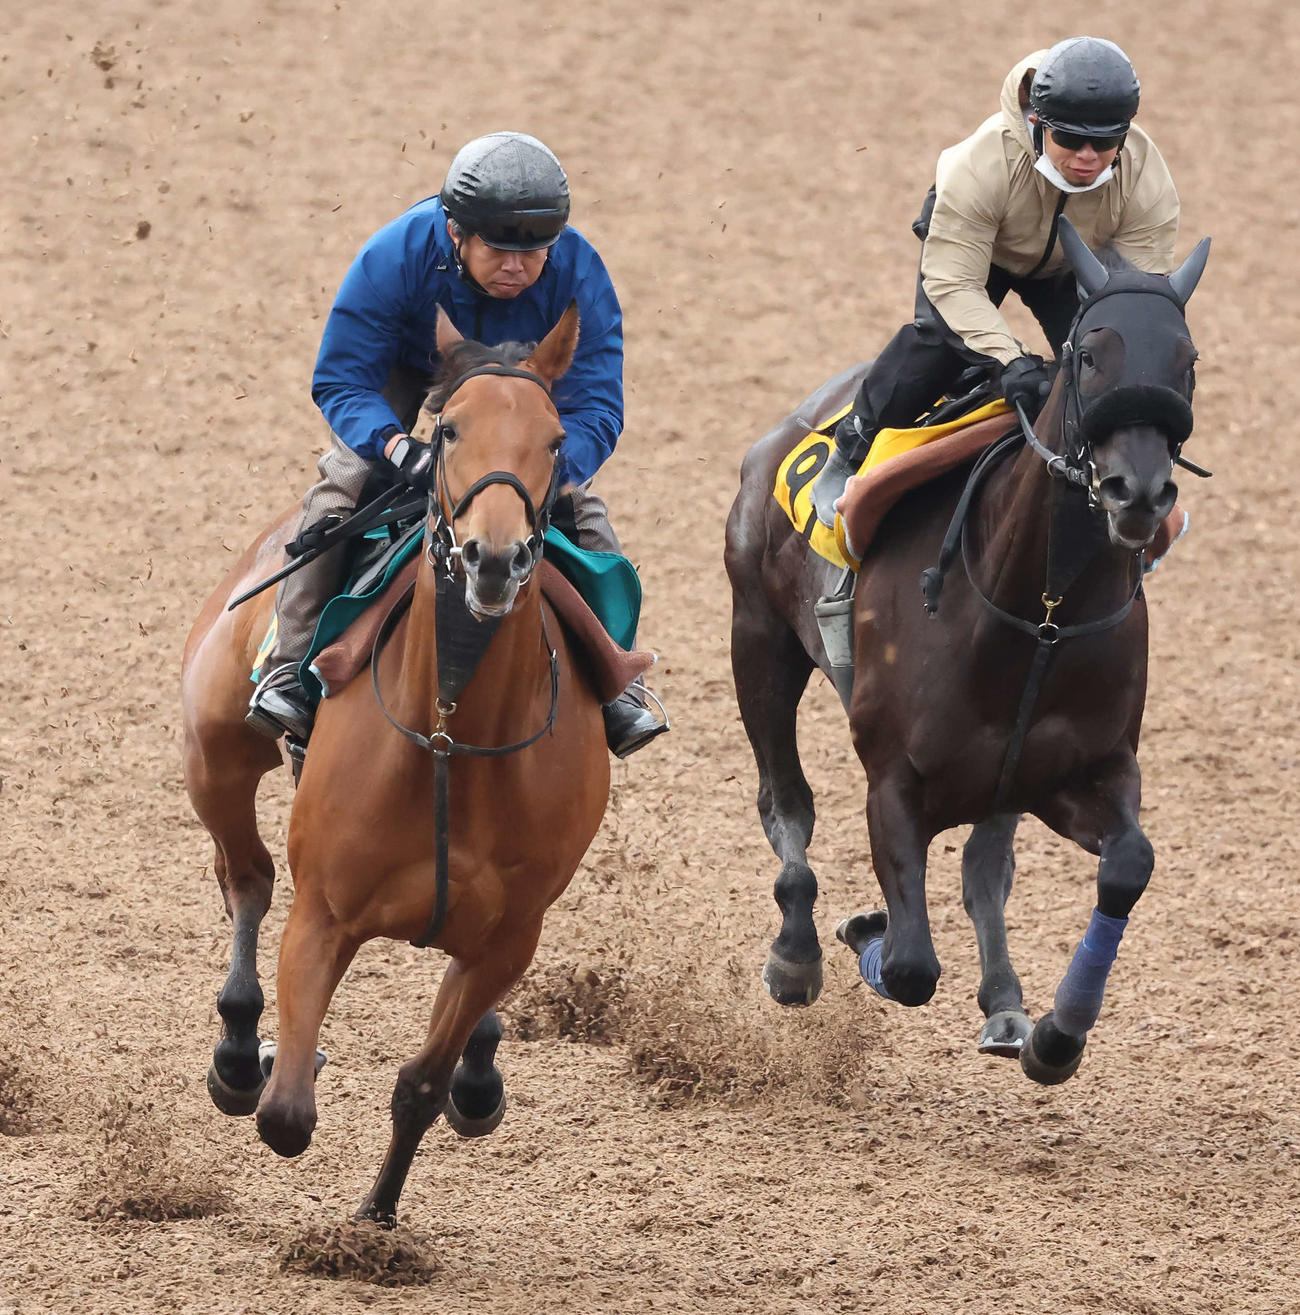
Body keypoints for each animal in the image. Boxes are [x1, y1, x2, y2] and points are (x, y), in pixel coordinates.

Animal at [181, 305, 611, 1221]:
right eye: (448, 430)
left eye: (556, 440)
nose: (494, 557)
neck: (451, 737)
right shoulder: (325, 914)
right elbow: (287, 1112)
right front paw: (276, 1060)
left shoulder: (507, 938)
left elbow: (421, 1083)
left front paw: (376, 1217)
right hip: (214, 756)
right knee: (246, 876)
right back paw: (239, 1048)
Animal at [725, 219, 1210, 1084]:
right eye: (1089, 355)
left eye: (1185, 362)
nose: (1139, 492)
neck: (1038, 613)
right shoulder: (892, 779)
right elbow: (912, 964)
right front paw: (862, 930)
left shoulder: (1080, 770)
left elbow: (1126, 864)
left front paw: (1056, 1034)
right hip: (760, 640)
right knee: (785, 803)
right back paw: (797, 952)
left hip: (1000, 778)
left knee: (986, 868)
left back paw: (1008, 1003)